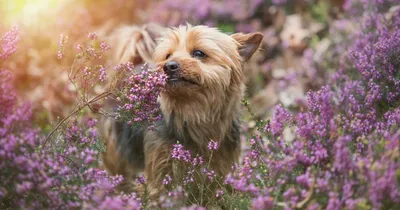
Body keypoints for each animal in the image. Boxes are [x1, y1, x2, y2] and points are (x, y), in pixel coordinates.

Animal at [100, 23, 264, 204]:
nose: (168, 65)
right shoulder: (159, 171)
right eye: (168, 55)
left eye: (199, 53)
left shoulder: (219, 168)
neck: (195, 112)